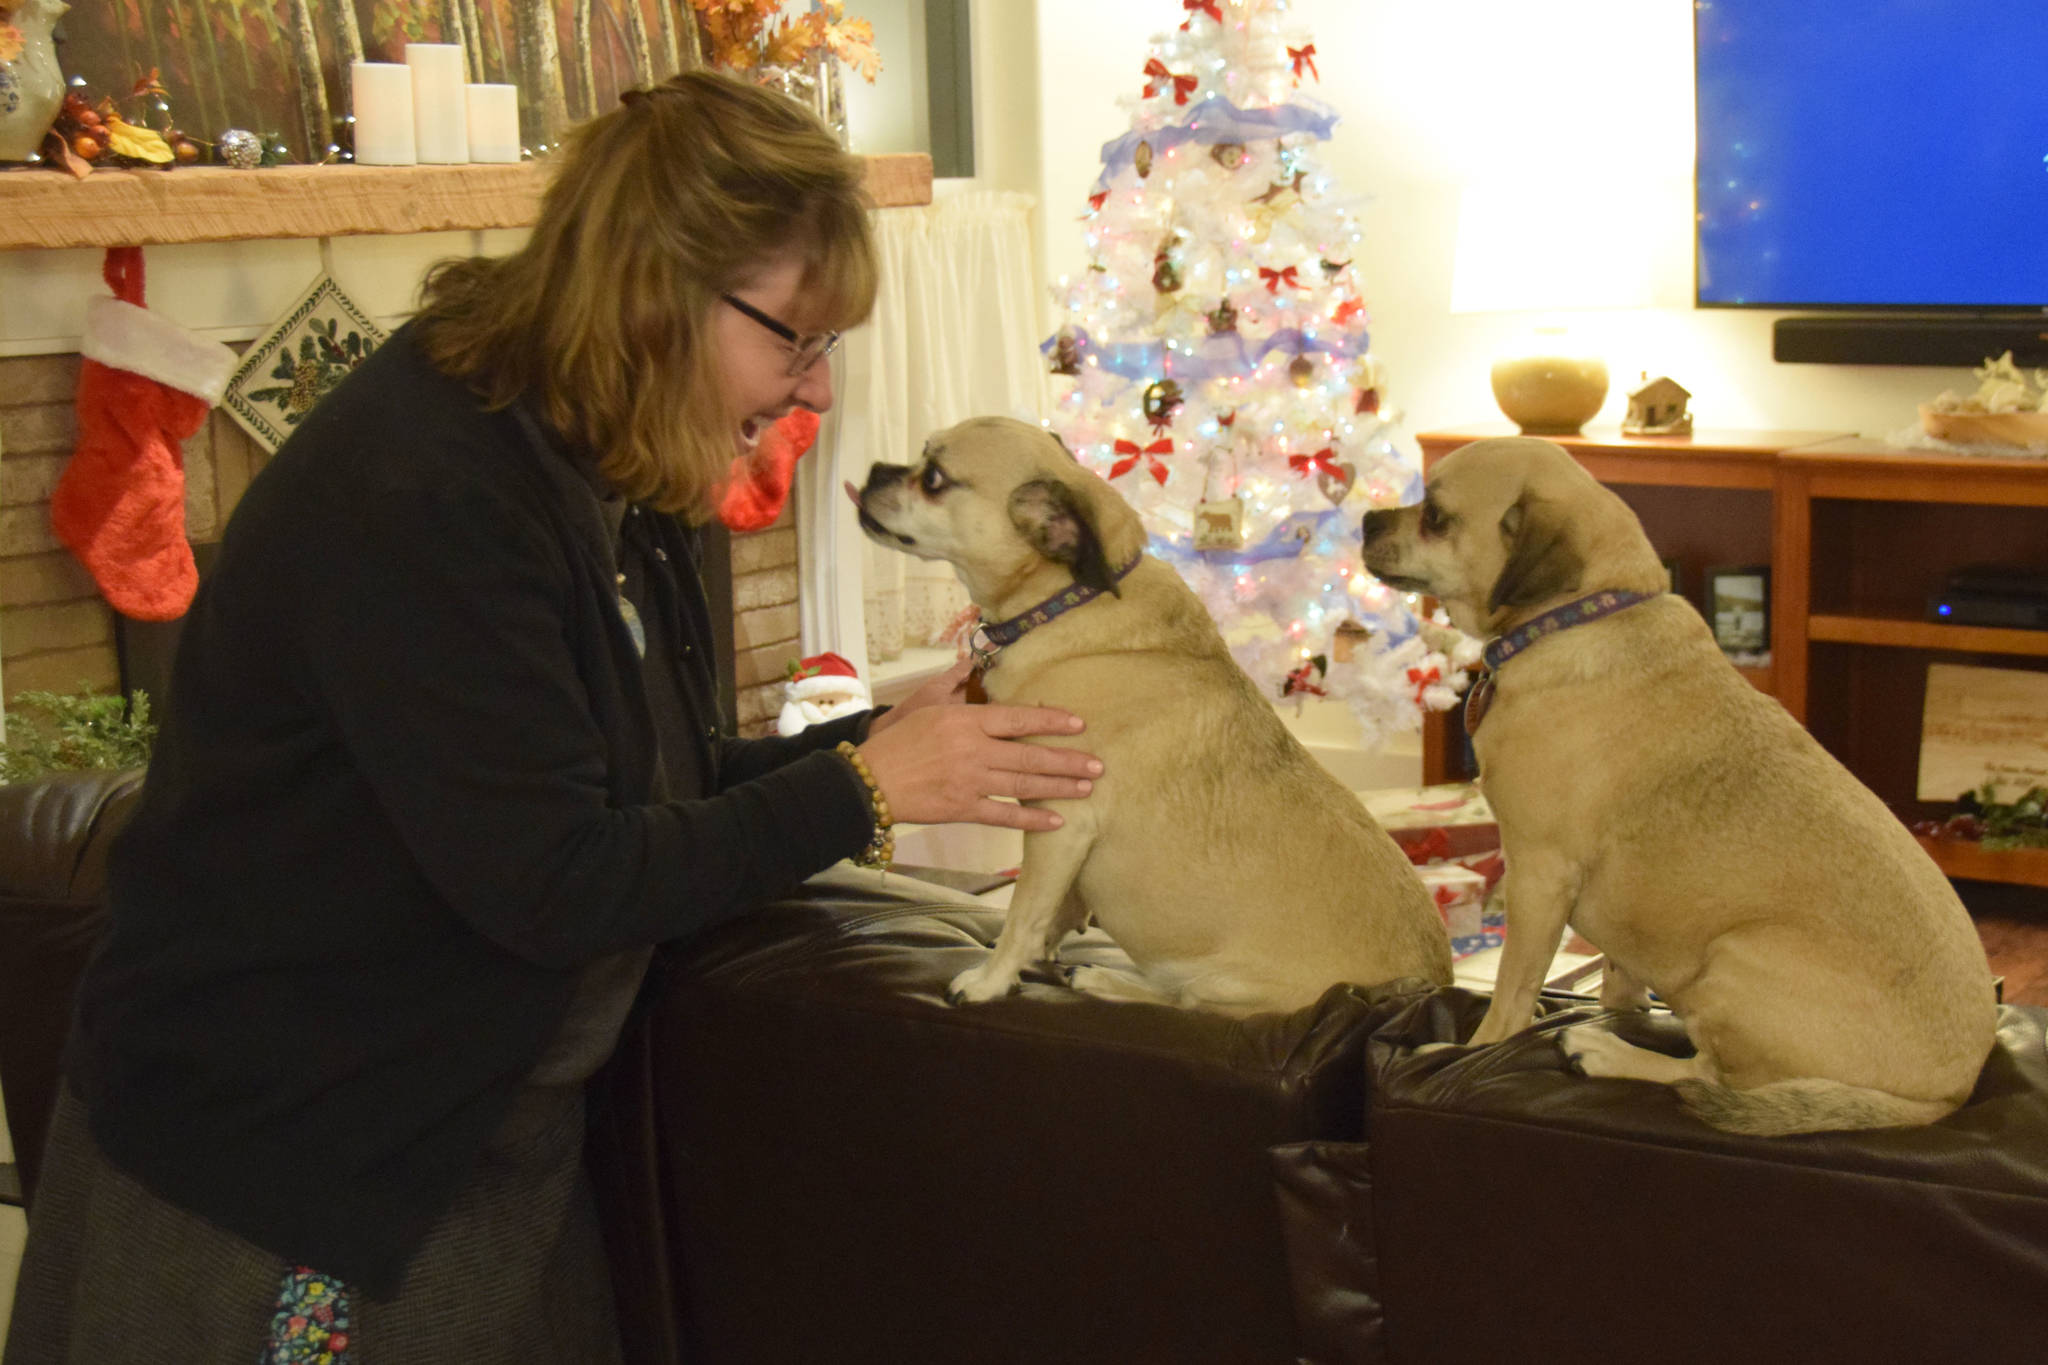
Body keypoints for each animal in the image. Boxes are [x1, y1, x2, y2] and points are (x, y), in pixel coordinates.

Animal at [851, 417, 1458, 1015]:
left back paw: (1103, 980)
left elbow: (1022, 914)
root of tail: (1429, 984)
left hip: (1221, 984)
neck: (1067, 599)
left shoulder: (1058, 824)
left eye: (933, 477)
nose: (875, 468)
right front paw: (1044, 949)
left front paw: (990, 979)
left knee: (1182, 1001)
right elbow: (1057, 908)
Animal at [1359, 437, 1998, 1129]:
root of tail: (1948, 1095)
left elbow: (1510, 995)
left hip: (1731, 966)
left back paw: (1603, 1052)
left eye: (1435, 517)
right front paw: (1620, 1007)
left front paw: (1470, 1049)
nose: (1366, 520)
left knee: (1707, 1075)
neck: (1577, 614)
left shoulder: (1538, 875)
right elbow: (1618, 978)